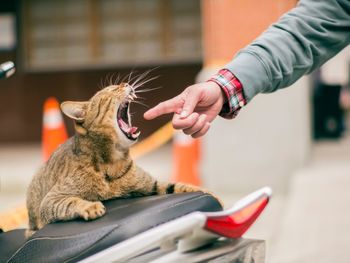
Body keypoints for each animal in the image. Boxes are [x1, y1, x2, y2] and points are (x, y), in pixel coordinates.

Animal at [26, 81, 219, 238]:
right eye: (111, 90)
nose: (125, 83)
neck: (111, 164)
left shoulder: (152, 185)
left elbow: (181, 186)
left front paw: (212, 197)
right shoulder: (51, 200)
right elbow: (71, 201)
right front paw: (90, 206)